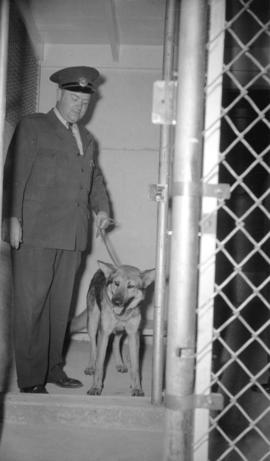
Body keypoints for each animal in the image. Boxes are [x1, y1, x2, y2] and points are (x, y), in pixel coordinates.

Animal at [70, 260, 154, 394]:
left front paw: (137, 388)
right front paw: (95, 387)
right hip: (93, 324)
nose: (116, 302)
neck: (122, 316)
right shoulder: (104, 333)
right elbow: (100, 365)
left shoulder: (133, 335)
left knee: (115, 343)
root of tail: (100, 271)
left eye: (131, 286)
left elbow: (135, 367)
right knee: (93, 347)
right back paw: (90, 366)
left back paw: (120, 364)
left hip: (119, 331)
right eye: (116, 283)